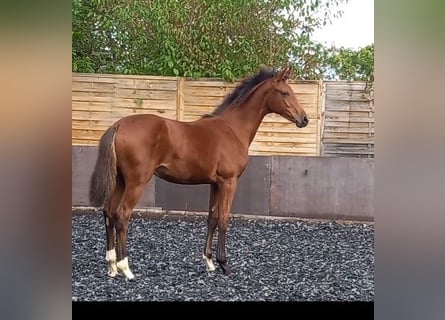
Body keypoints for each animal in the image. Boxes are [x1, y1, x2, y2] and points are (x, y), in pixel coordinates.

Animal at [88, 66, 306, 278]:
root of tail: (118, 125)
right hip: (136, 182)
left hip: (120, 181)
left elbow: (212, 218)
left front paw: (209, 262)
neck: (232, 129)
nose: (304, 119)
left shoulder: (215, 184)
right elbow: (224, 218)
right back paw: (126, 269)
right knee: (122, 215)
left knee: (109, 212)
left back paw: (112, 266)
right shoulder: (229, 182)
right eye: (285, 92)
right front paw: (224, 264)